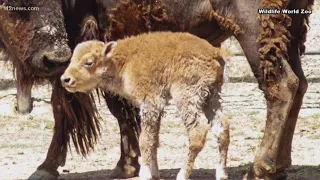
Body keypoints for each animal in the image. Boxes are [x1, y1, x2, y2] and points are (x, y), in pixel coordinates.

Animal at [60, 31, 230, 179]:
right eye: (72, 59)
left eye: (89, 62)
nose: (65, 79)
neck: (122, 61)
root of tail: (214, 52)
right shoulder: (156, 108)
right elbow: (153, 139)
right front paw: (154, 174)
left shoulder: (150, 103)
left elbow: (145, 140)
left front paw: (145, 174)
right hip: (211, 97)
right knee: (222, 128)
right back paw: (221, 174)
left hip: (187, 97)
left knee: (198, 131)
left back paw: (182, 175)